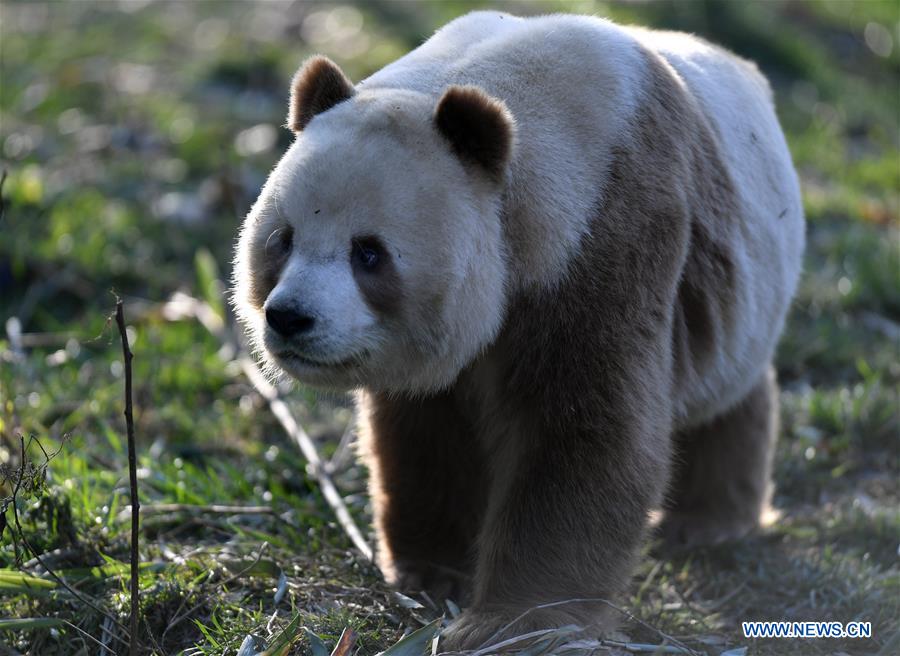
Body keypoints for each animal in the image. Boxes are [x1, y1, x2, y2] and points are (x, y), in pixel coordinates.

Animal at [230, 11, 800, 652]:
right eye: (283, 239)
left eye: (369, 253)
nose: (291, 317)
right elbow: (426, 428)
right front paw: (430, 571)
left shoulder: (608, 232)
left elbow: (585, 432)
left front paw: (516, 618)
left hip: (742, 281)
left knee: (727, 397)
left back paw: (707, 523)